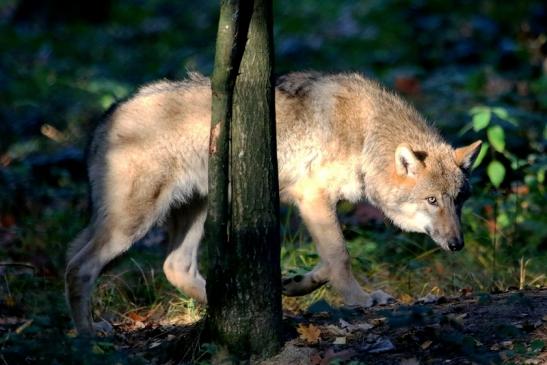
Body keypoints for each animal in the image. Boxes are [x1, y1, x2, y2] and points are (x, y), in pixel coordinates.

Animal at [66, 71, 482, 332]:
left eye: (459, 200)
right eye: (432, 200)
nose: (457, 244)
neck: (367, 134)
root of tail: (106, 117)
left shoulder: (315, 204)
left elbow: (327, 262)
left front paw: (298, 284)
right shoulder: (312, 196)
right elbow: (341, 256)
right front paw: (361, 299)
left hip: (197, 210)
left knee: (175, 267)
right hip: (134, 224)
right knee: (78, 266)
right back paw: (89, 334)